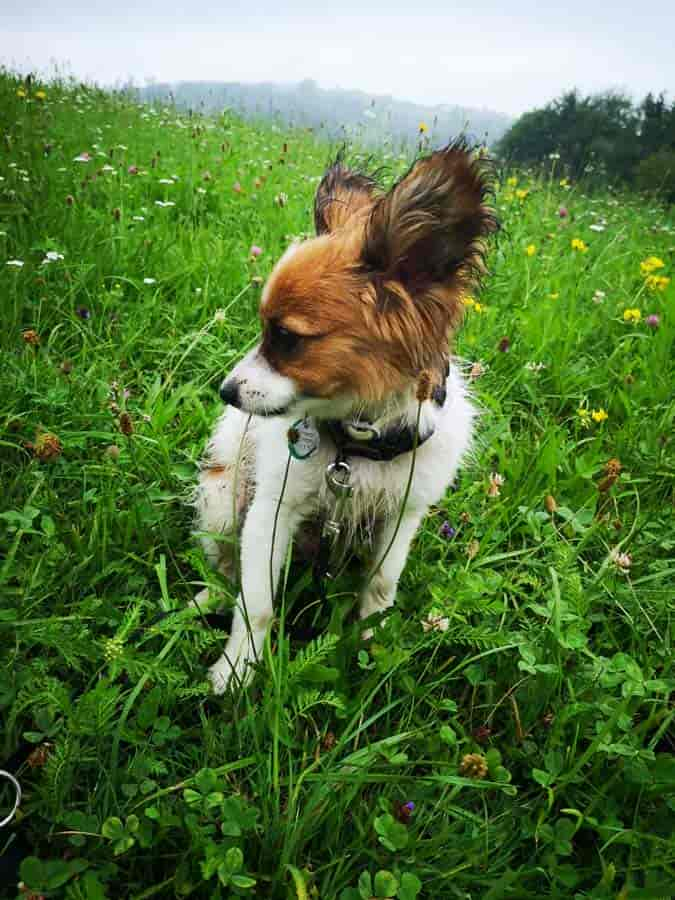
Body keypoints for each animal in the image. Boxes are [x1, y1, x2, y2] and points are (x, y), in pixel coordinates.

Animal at [195, 141, 496, 692]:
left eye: (286, 337)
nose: (225, 391)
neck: (355, 446)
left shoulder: (402, 518)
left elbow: (379, 589)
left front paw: (369, 652)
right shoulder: (271, 511)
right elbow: (257, 602)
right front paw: (238, 669)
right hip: (222, 497)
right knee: (224, 565)